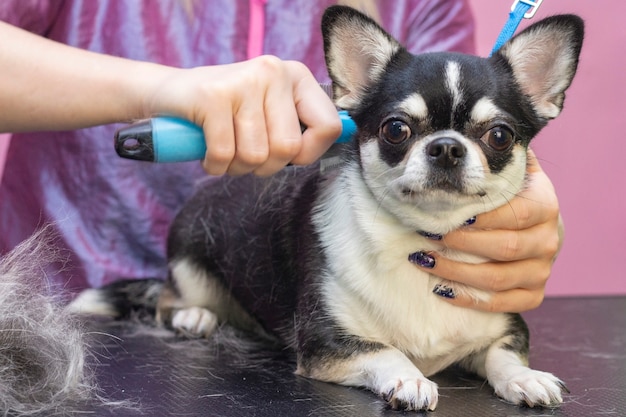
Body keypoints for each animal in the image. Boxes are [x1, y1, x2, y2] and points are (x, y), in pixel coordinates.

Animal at [75, 5, 584, 410]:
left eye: (499, 135)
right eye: (395, 129)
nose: (446, 147)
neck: (425, 241)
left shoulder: (505, 326)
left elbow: (504, 353)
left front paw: (526, 378)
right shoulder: (328, 343)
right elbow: (383, 350)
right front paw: (410, 378)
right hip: (189, 265)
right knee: (167, 297)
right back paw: (192, 315)